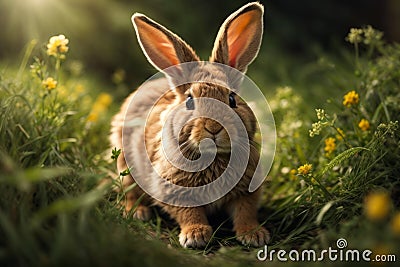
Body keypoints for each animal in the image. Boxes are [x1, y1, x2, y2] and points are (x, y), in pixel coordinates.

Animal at [111, 2, 270, 249]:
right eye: (189, 101)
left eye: (232, 99)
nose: (213, 127)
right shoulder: (173, 189)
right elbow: (189, 213)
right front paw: (195, 235)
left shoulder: (246, 191)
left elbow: (246, 212)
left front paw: (255, 235)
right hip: (125, 166)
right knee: (128, 192)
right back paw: (138, 212)